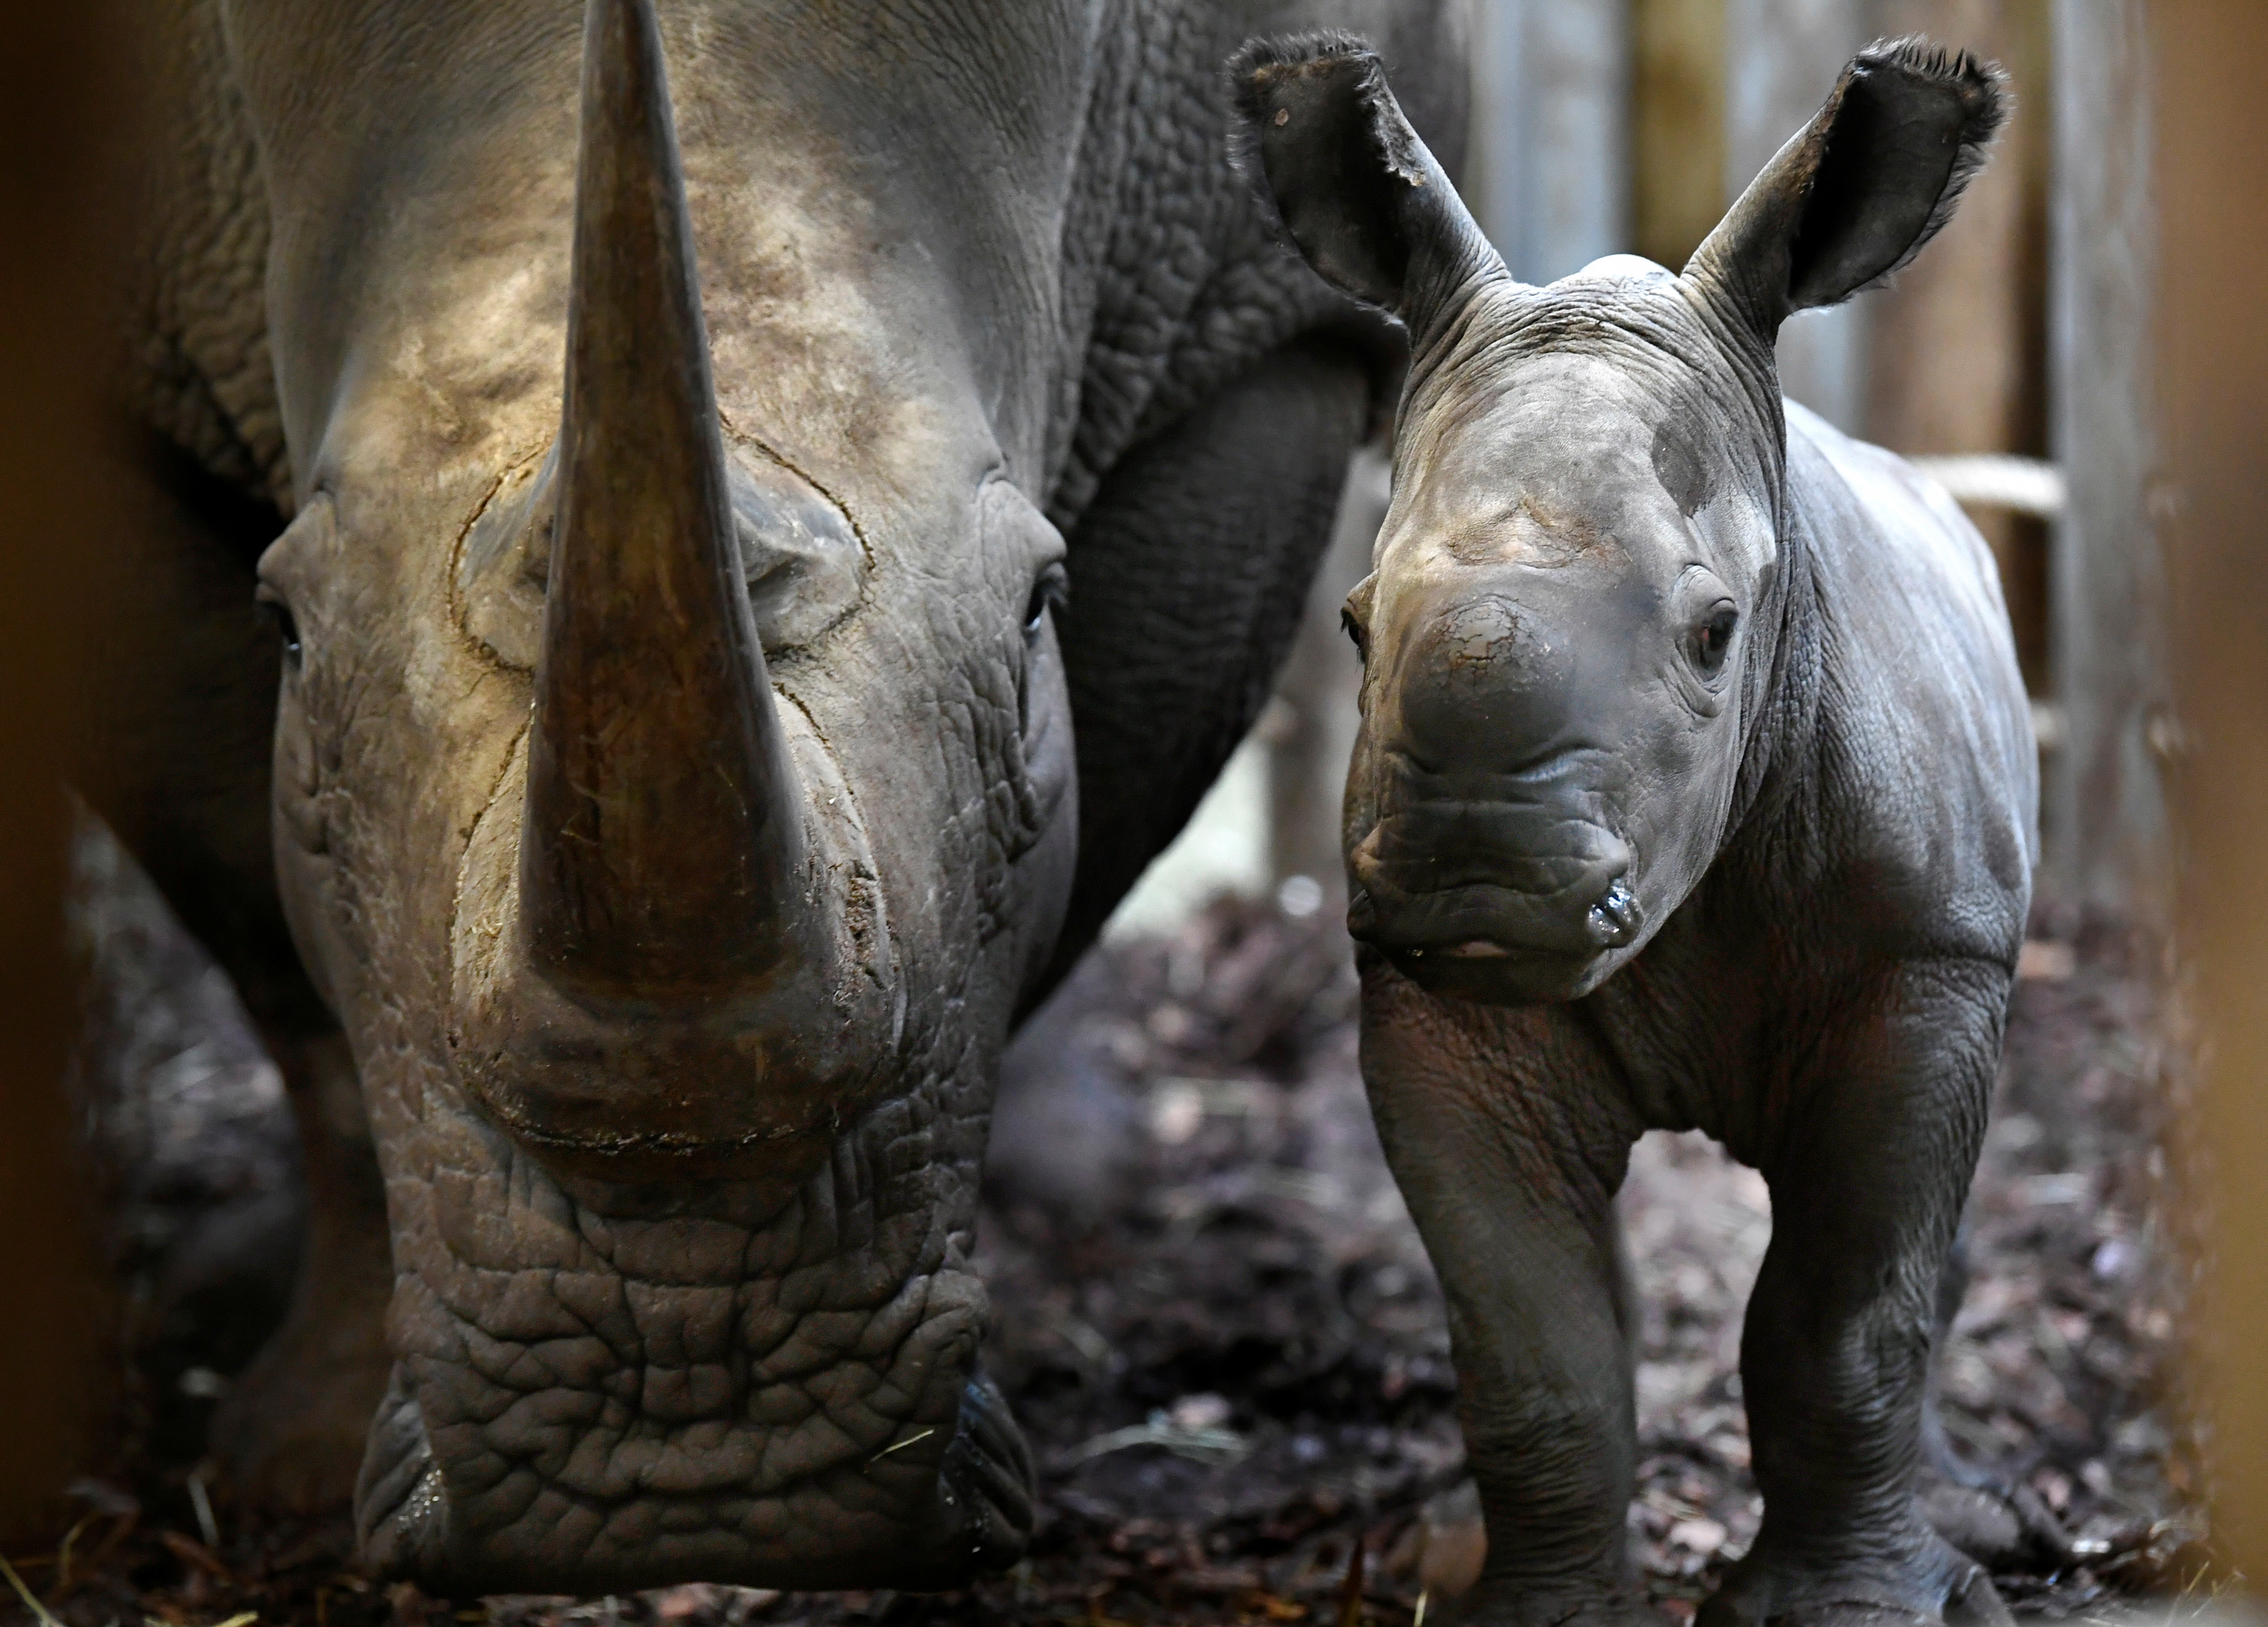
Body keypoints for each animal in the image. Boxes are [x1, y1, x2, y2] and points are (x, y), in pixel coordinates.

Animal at [93, 0, 1465, 1593]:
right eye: (290, 633)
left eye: (1036, 612)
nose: (693, 1475)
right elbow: (259, 918)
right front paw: (297, 1475)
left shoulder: (1244, 333)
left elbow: (1095, 815)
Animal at [1233, 35, 2037, 1627]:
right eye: (1351, 623)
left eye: (1716, 632)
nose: (1475, 865)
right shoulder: (1429, 1002)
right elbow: (1532, 1348)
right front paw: (1535, 1610)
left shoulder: (1929, 957)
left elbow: (1847, 1318)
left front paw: (1845, 1612)